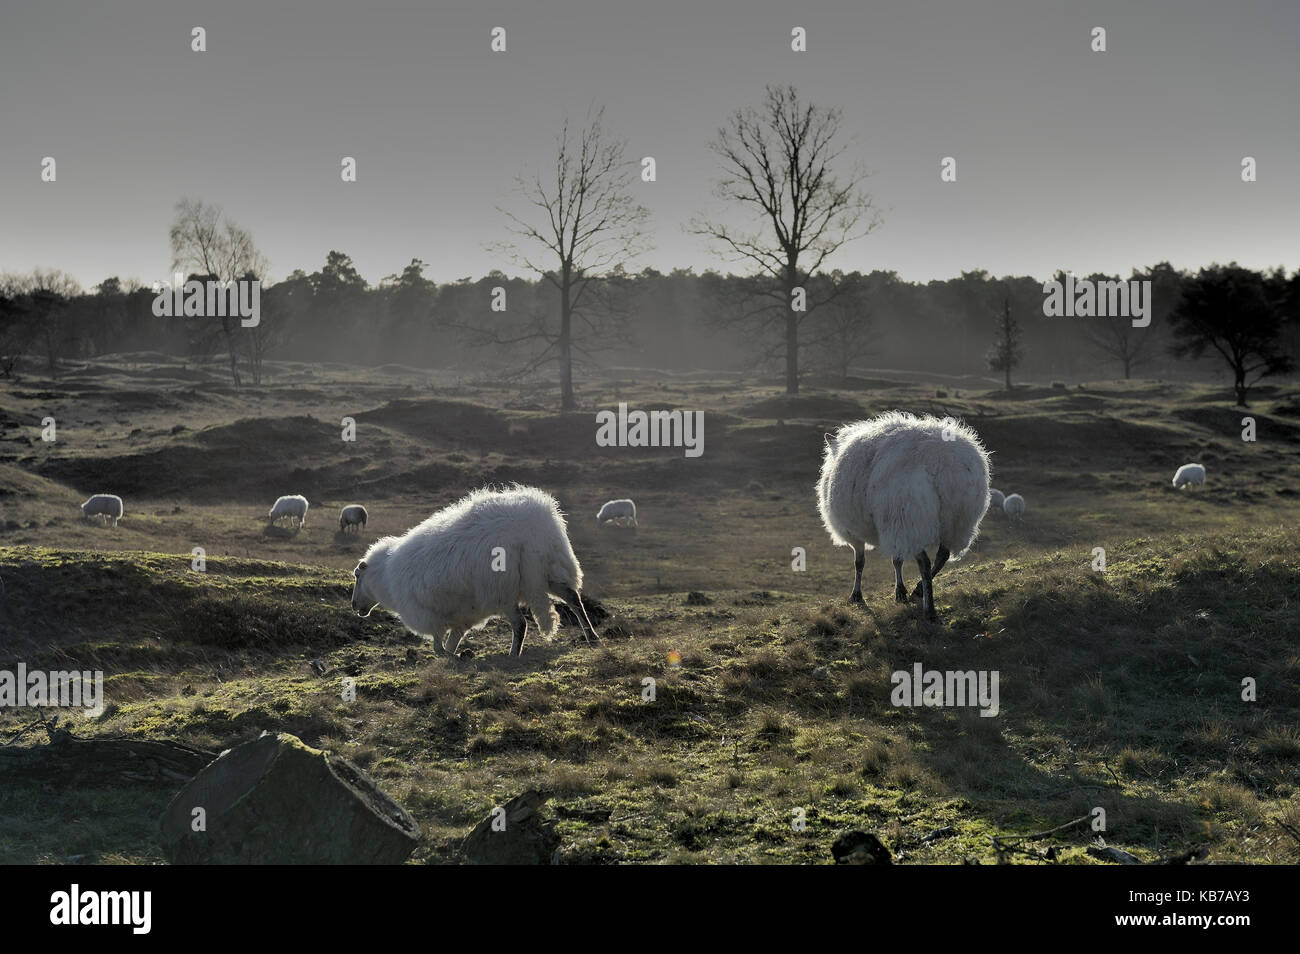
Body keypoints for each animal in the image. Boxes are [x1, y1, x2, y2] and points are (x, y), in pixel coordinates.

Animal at [353, 488, 600, 660]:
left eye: (357, 575)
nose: (355, 607)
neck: (385, 578)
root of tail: (529, 534)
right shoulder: (462, 616)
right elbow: (451, 642)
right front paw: (456, 655)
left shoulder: (431, 617)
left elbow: (438, 647)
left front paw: (454, 657)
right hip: (553, 569)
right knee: (574, 599)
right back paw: (592, 637)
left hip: (503, 590)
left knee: (521, 624)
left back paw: (513, 655)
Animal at [816, 413, 987, 623]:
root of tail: (942, 460)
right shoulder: (891, 528)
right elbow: (897, 560)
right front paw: (900, 592)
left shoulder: (855, 532)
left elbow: (859, 562)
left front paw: (856, 596)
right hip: (957, 521)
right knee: (942, 556)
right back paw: (919, 590)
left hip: (909, 518)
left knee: (924, 562)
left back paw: (929, 609)